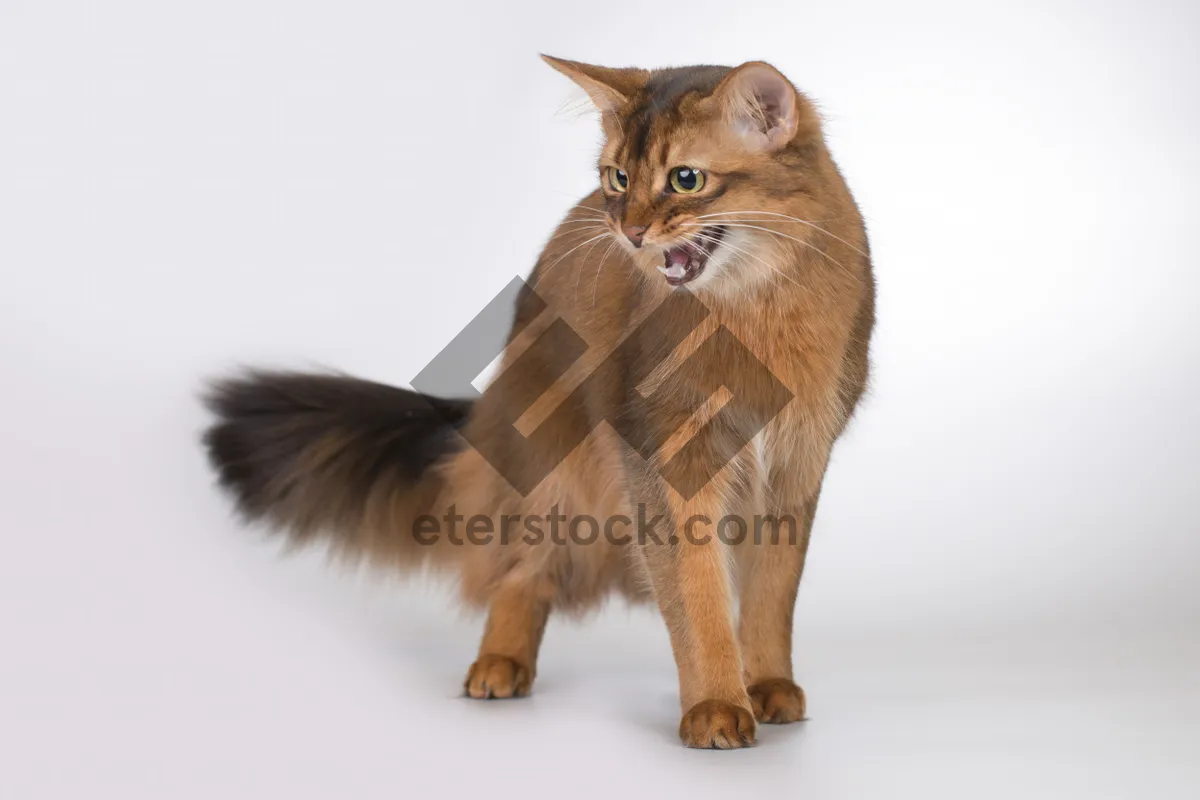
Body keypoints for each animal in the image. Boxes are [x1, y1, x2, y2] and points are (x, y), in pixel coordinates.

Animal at [204, 56, 873, 753]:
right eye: (619, 177)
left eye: (686, 180)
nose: (630, 231)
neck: (757, 311)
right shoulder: (669, 462)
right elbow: (699, 595)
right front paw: (716, 706)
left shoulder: (796, 469)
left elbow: (771, 594)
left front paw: (767, 685)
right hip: (552, 476)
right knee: (519, 571)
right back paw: (499, 665)